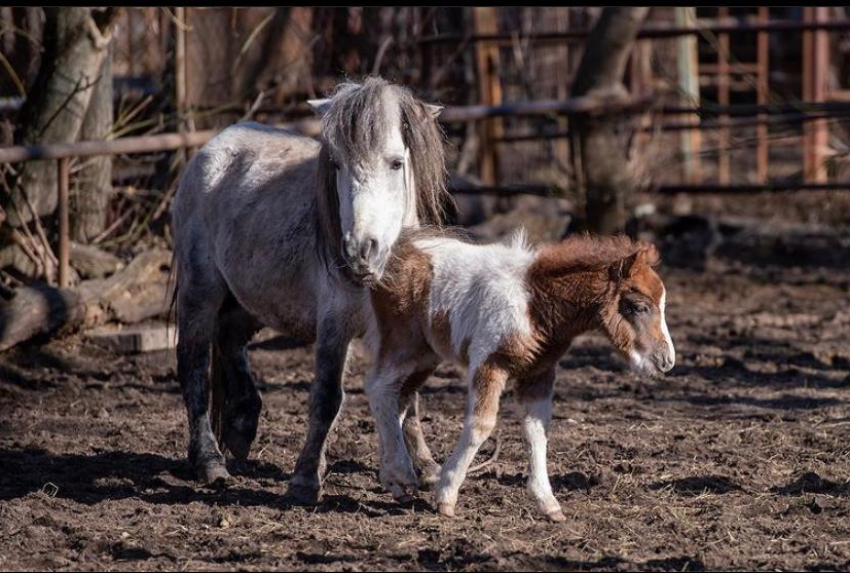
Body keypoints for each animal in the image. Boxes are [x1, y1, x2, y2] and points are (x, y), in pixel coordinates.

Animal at [362, 230, 672, 520]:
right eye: (639, 306)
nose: (666, 361)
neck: (535, 304)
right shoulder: (489, 363)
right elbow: (481, 425)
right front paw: (446, 496)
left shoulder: (539, 373)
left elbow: (537, 429)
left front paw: (548, 504)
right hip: (404, 344)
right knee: (379, 389)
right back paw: (402, 472)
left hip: (427, 355)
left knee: (398, 398)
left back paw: (394, 479)